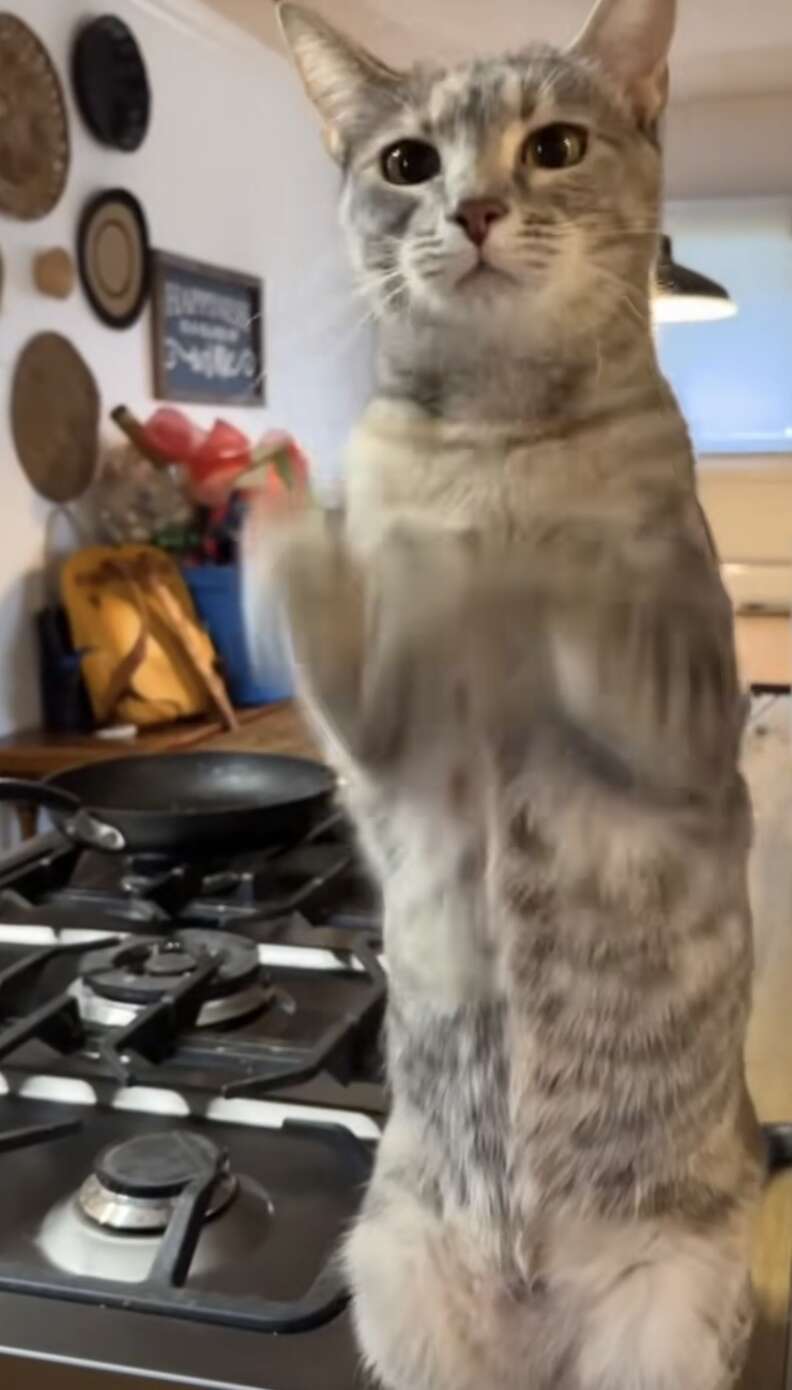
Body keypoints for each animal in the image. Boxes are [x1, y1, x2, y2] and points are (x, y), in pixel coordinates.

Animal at [247, 0, 766, 1384]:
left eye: (557, 145)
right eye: (408, 162)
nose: (476, 207)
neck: (494, 431)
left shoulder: (688, 728)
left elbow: (610, 603)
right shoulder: (389, 765)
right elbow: (351, 638)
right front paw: (288, 517)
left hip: (672, 1317)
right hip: (394, 1281)